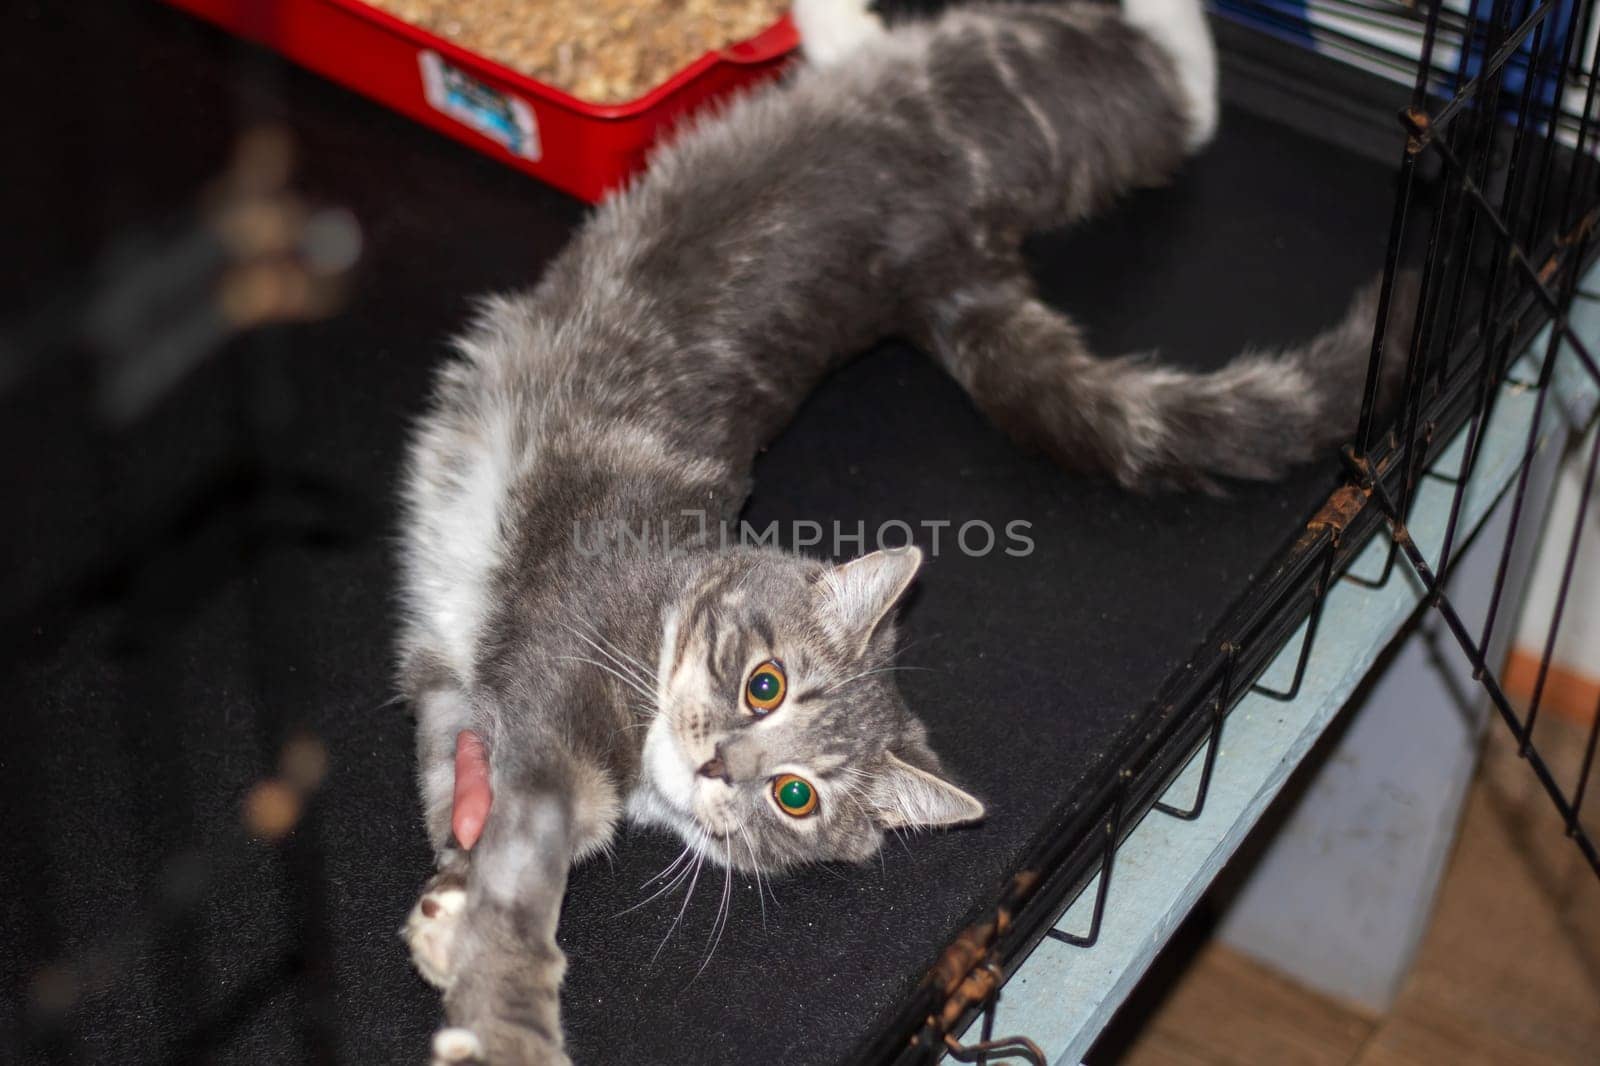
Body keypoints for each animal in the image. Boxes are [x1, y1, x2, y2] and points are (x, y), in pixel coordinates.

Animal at [396, 2, 1388, 1056]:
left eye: (794, 796)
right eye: (763, 683)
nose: (720, 764)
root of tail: (952, 261)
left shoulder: (500, 712)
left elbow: (490, 816)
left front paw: (459, 930)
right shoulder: (541, 683)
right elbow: (516, 861)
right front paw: (500, 1007)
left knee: (1180, 76)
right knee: (1172, 69)